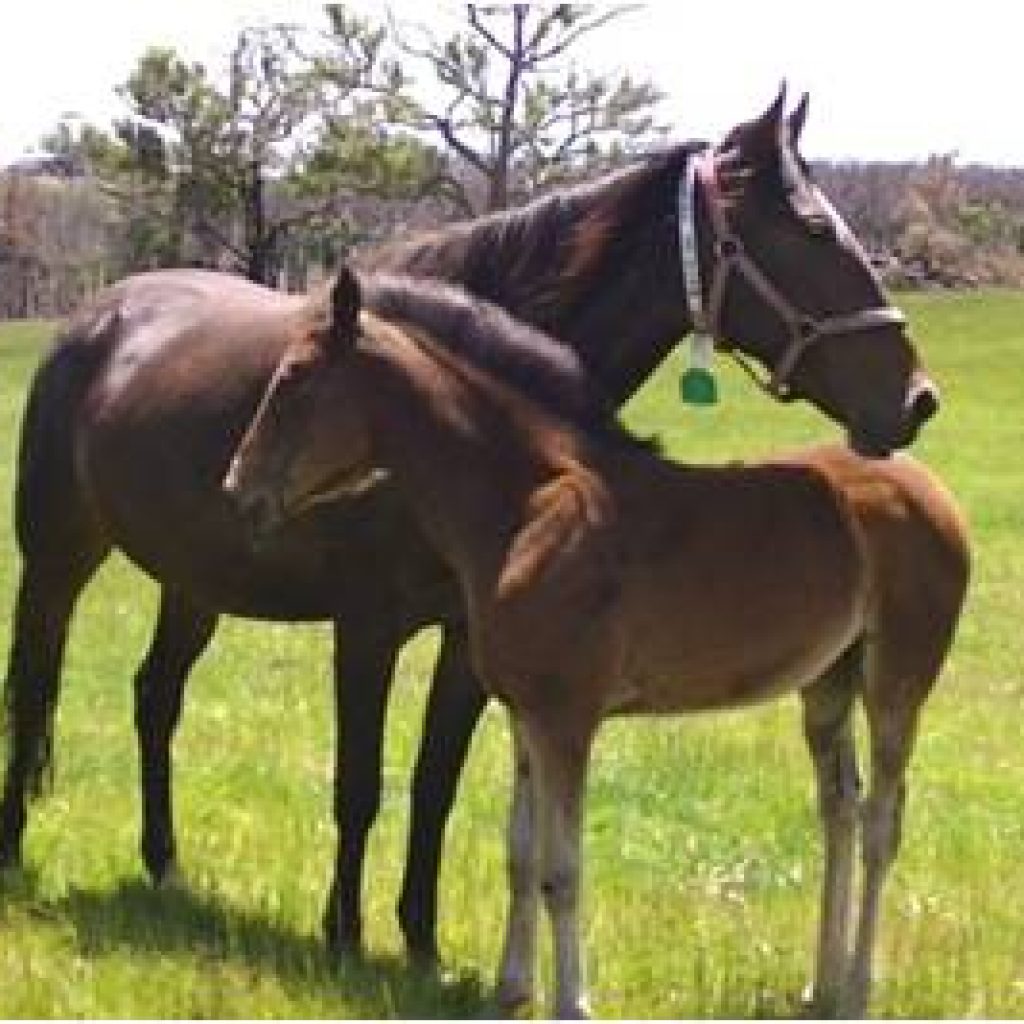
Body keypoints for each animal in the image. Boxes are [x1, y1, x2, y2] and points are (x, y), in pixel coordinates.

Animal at [1, 89, 939, 961]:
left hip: (194, 582)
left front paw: (419, 940)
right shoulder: (366, 627)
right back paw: (16, 850)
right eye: (814, 230)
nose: (916, 399)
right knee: (34, 685)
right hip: (57, 559)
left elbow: (435, 784)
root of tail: (100, 315)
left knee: (155, 698)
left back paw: (164, 864)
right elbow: (359, 783)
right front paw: (343, 935)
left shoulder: (467, 642)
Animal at [224, 265, 970, 1018]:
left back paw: (858, 988)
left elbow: (562, 869)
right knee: (839, 813)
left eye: (293, 379)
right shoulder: (524, 714)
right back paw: (823, 984)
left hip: (898, 683)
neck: (528, 508)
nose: (238, 490)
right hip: (827, 684)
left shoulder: (568, 720)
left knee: (879, 826)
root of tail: (927, 486)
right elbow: (522, 854)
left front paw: (570, 1001)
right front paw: (511, 987)